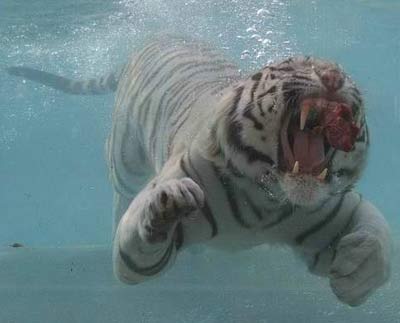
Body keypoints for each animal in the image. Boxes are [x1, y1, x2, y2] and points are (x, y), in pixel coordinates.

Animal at [8, 36, 390, 308]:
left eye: (347, 75)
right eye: (297, 64)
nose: (333, 76)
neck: (267, 201)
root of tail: (151, 40)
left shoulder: (338, 205)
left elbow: (380, 238)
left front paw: (355, 271)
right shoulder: (136, 253)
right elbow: (137, 239)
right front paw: (167, 205)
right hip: (123, 159)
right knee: (122, 194)